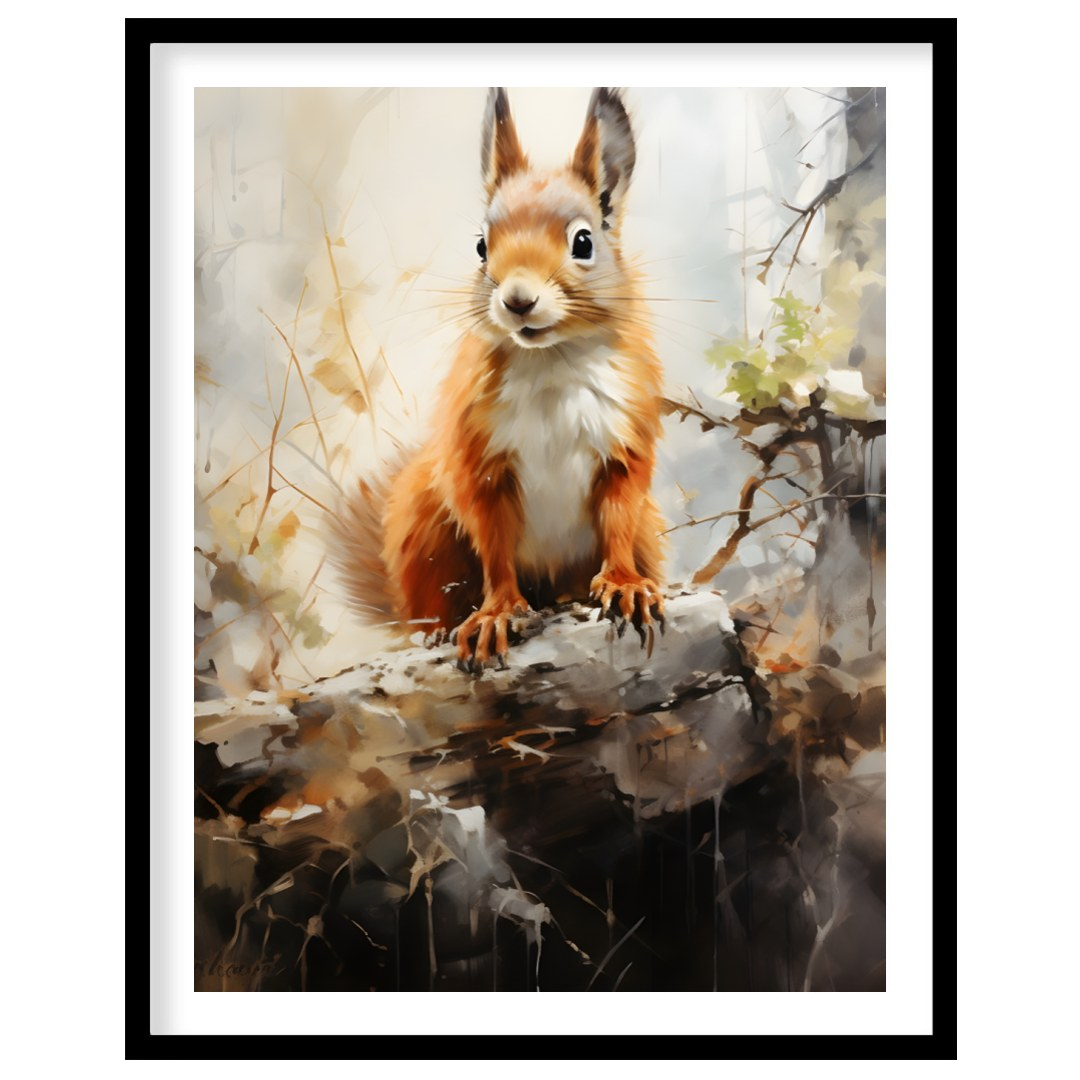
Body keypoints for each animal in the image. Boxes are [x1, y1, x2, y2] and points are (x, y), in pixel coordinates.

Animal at [331, 87, 667, 671]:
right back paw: (439, 631)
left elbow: (619, 518)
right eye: (481, 246)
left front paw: (625, 584)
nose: (518, 299)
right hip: (423, 524)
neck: (550, 361)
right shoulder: (480, 462)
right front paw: (497, 613)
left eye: (584, 242)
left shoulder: (624, 443)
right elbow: (493, 543)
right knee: (432, 602)